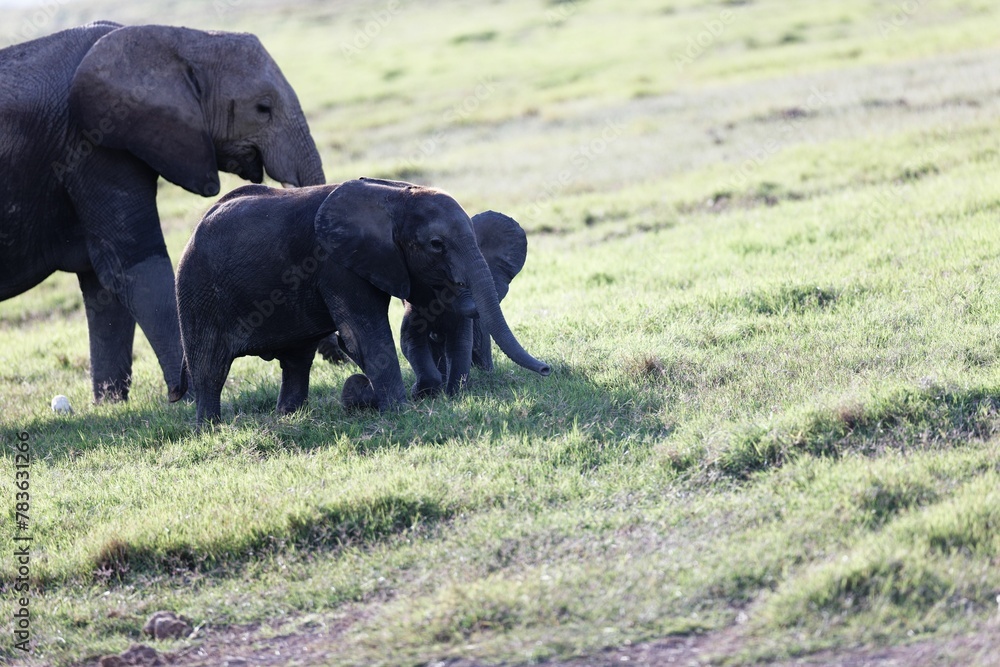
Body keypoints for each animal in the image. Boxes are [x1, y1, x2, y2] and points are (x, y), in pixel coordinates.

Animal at [0, 22, 324, 403]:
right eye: (263, 109)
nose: (333, 355)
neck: (175, 40)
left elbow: (104, 282)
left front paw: (111, 403)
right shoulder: (93, 142)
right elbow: (135, 263)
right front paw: (185, 396)